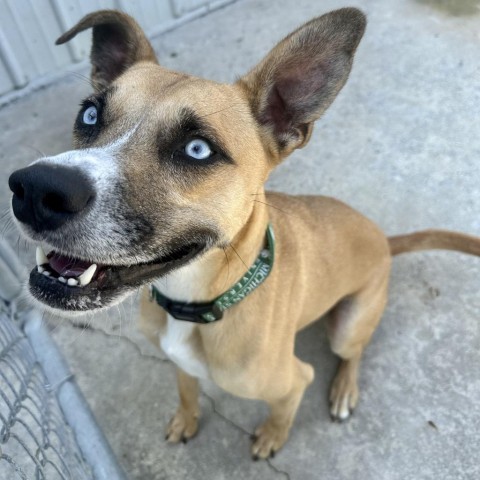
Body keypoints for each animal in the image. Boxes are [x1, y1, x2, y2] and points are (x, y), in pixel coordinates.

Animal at [8, 6, 480, 458]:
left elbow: (283, 412)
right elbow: (187, 392)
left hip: (348, 327)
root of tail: (383, 238)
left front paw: (272, 437)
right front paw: (186, 420)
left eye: (198, 149)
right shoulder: (180, 365)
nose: (35, 190)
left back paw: (344, 389)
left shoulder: (294, 381)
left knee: (354, 352)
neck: (202, 298)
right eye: (89, 114)